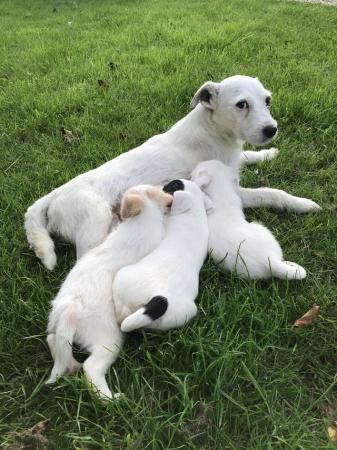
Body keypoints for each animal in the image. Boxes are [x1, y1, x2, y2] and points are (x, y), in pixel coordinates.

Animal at [23, 75, 318, 268]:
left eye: (267, 100)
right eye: (241, 104)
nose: (271, 130)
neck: (212, 129)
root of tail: (54, 195)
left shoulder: (234, 160)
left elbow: (248, 156)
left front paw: (269, 153)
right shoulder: (233, 189)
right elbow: (272, 192)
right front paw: (302, 203)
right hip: (95, 220)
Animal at [45, 185, 171, 400]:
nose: (115, 208)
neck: (145, 216)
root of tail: (72, 308)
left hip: (59, 325)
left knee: (54, 340)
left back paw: (71, 365)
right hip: (109, 340)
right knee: (91, 367)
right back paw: (110, 399)